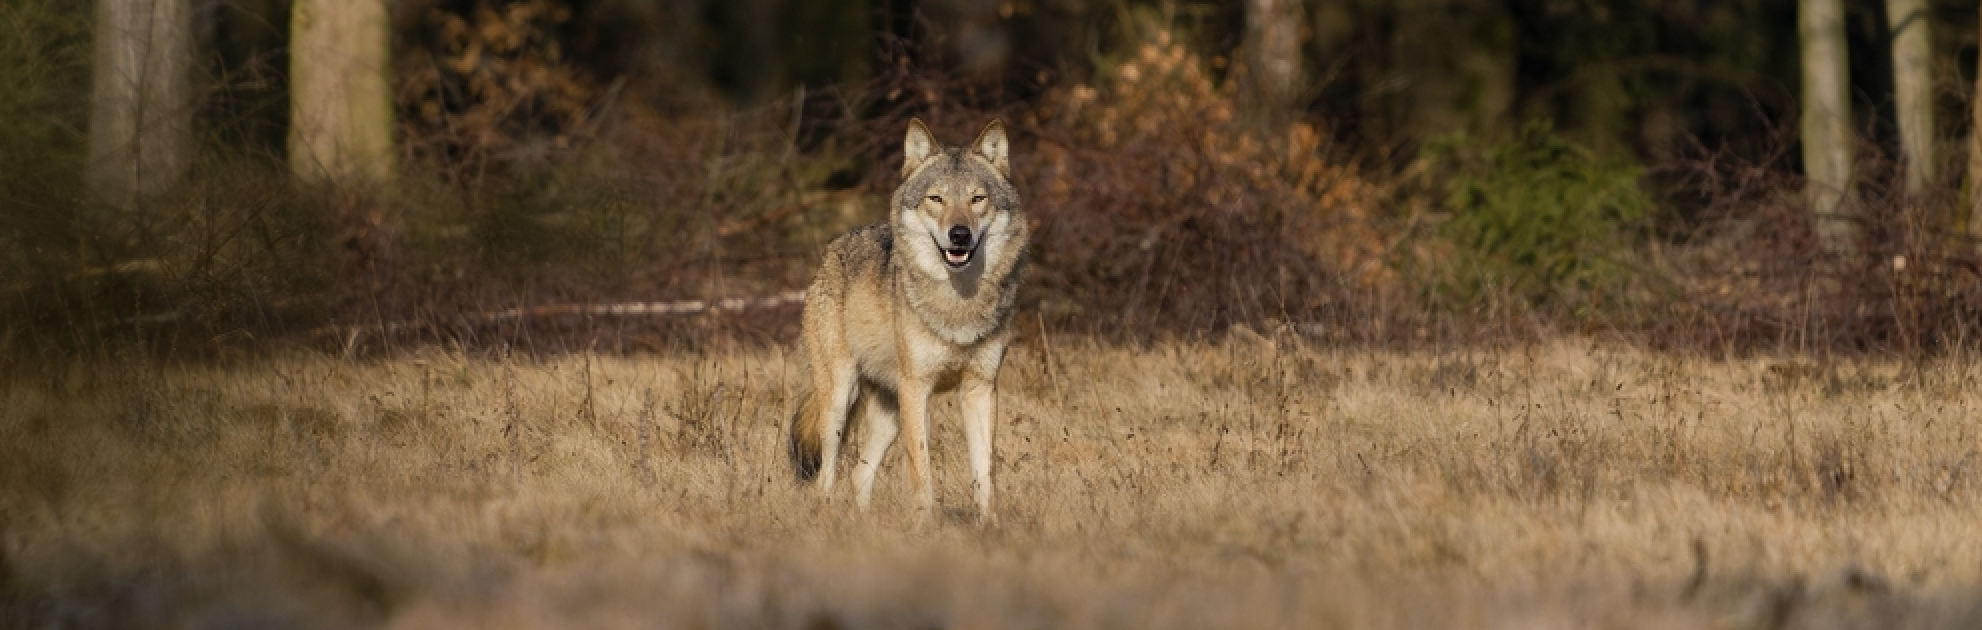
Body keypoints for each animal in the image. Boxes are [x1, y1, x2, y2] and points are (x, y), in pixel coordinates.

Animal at [788, 118, 1025, 525]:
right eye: (936, 199)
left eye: (977, 199)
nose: (959, 234)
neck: (958, 305)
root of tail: (832, 249)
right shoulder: (917, 389)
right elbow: (921, 468)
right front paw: (923, 526)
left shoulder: (980, 388)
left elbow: (985, 472)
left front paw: (990, 526)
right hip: (841, 398)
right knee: (827, 477)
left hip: (889, 411)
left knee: (859, 475)